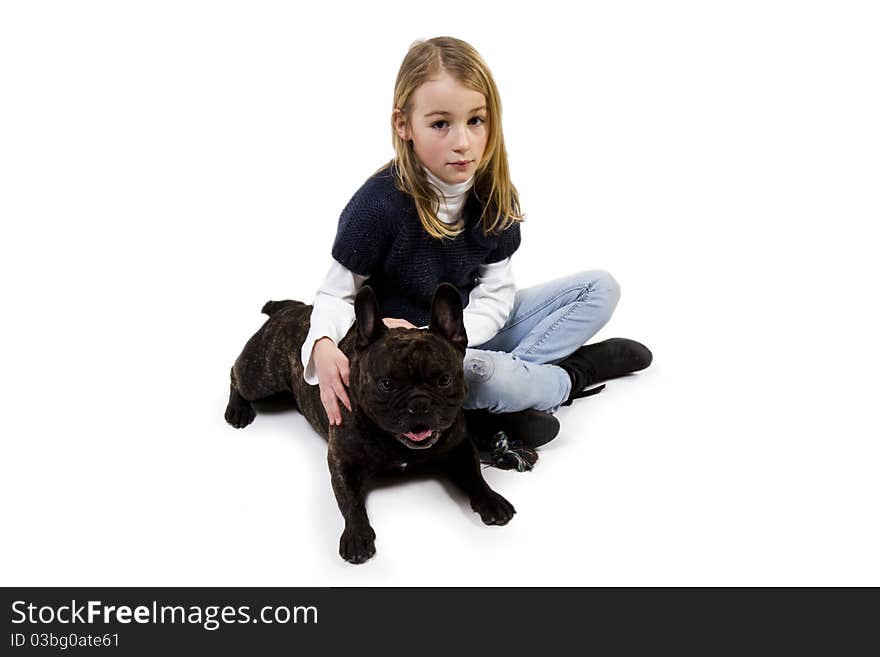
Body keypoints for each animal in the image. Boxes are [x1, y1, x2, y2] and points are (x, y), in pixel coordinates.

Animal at [225, 282, 516, 564]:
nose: (419, 403)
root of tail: (295, 308)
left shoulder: (459, 448)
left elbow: (475, 475)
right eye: (386, 384)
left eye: (444, 380)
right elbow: (350, 501)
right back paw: (237, 410)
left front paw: (491, 500)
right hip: (259, 376)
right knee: (235, 376)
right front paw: (356, 535)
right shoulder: (341, 461)